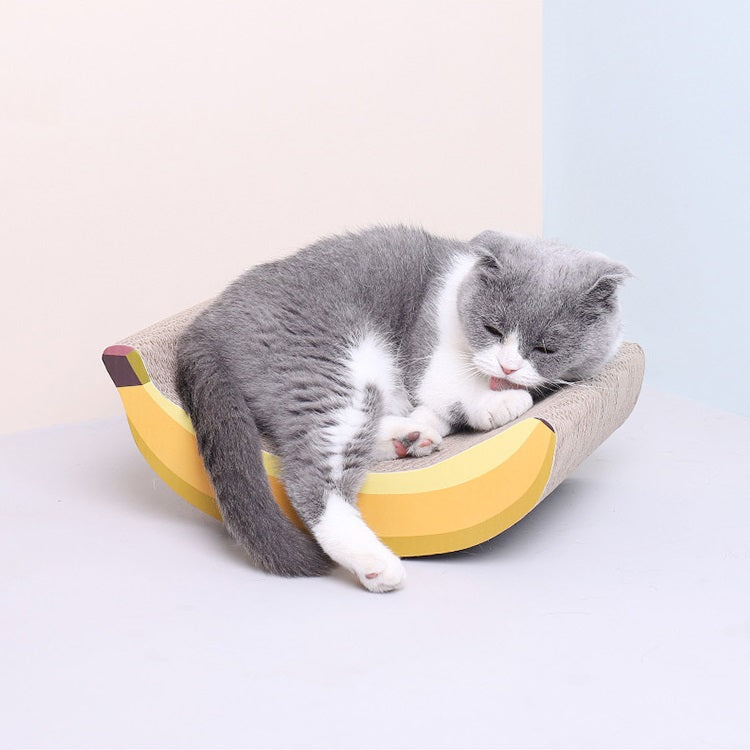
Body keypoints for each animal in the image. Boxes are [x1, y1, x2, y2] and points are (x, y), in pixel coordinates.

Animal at [176, 223, 628, 592]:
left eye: (546, 347)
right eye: (492, 329)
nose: (508, 365)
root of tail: (204, 324)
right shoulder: (426, 355)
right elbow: (449, 387)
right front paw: (499, 402)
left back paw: (409, 438)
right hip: (334, 363)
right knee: (313, 473)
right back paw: (375, 562)